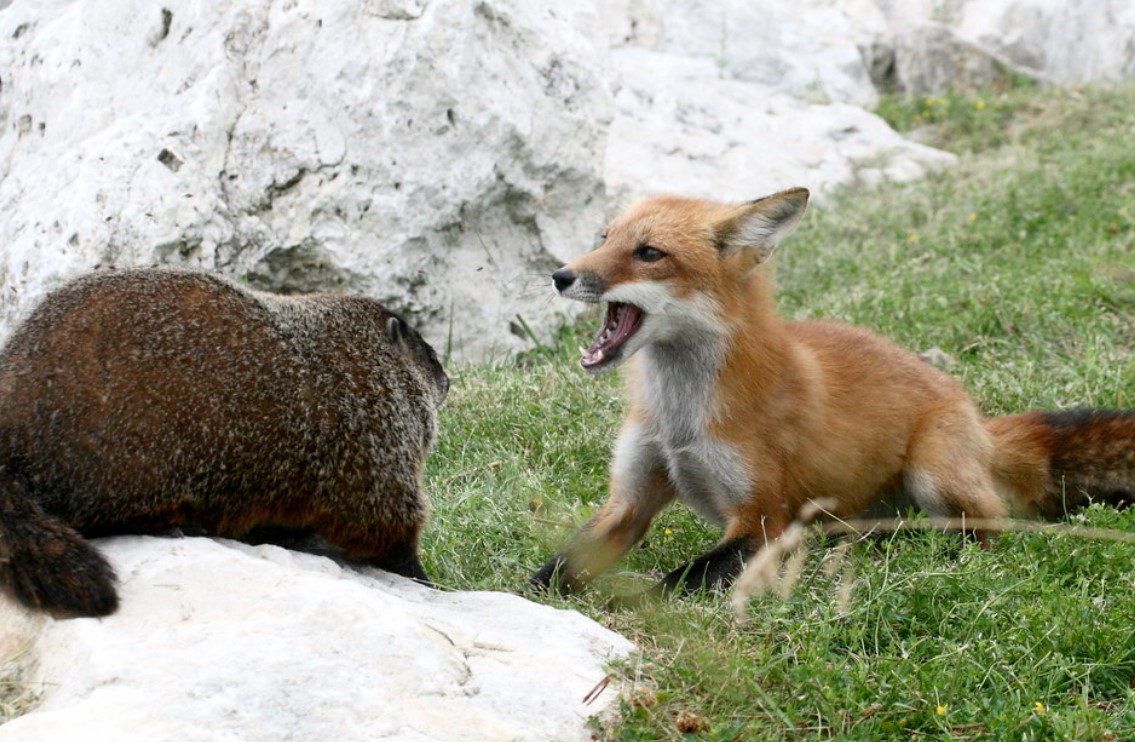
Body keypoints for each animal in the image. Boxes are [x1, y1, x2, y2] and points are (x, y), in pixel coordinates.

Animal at [528, 187, 1135, 599]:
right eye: (604, 239)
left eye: (649, 253)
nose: (560, 275)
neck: (680, 421)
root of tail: (977, 416)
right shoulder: (629, 502)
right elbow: (550, 573)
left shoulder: (764, 517)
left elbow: (672, 586)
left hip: (933, 474)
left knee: (989, 525)